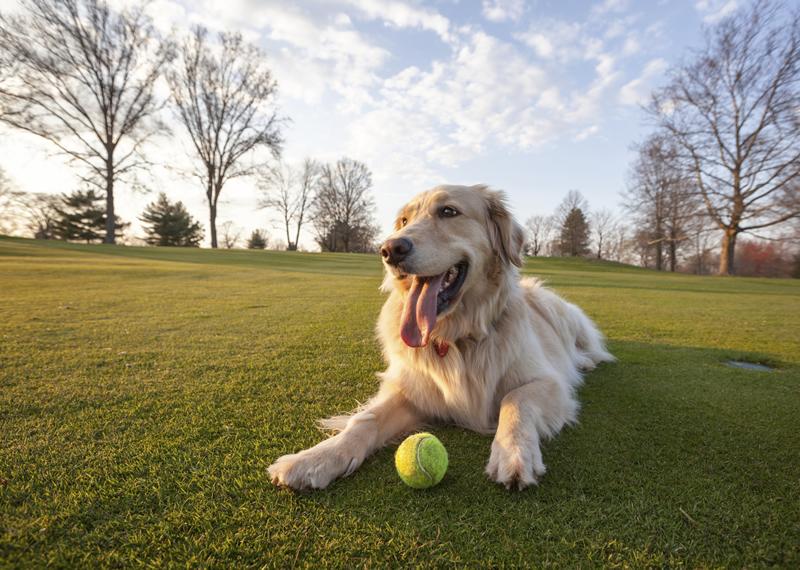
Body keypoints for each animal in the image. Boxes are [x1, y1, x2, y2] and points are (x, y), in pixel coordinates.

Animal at [268, 184, 612, 486]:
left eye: (448, 211)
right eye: (403, 221)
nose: (389, 249)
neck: (456, 337)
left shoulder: (548, 382)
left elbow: (515, 400)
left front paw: (513, 454)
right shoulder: (411, 390)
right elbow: (364, 420)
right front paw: (315, 459)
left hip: (558, 310)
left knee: (589, 348)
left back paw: (585, 361)